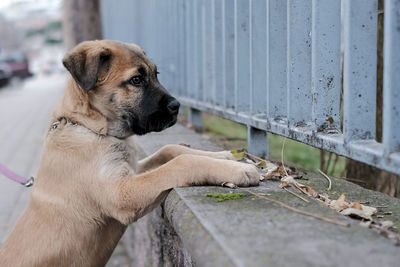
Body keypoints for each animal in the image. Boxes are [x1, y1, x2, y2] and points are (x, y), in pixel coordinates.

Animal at [0, 40, 260, 267]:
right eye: (136, 80)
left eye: (156, 74)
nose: (176, 106)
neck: (91, 128)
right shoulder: (122, 193)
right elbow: (180, 163)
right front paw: (239, 170)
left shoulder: (132, 169)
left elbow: (171, 150)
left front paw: (225, 156)